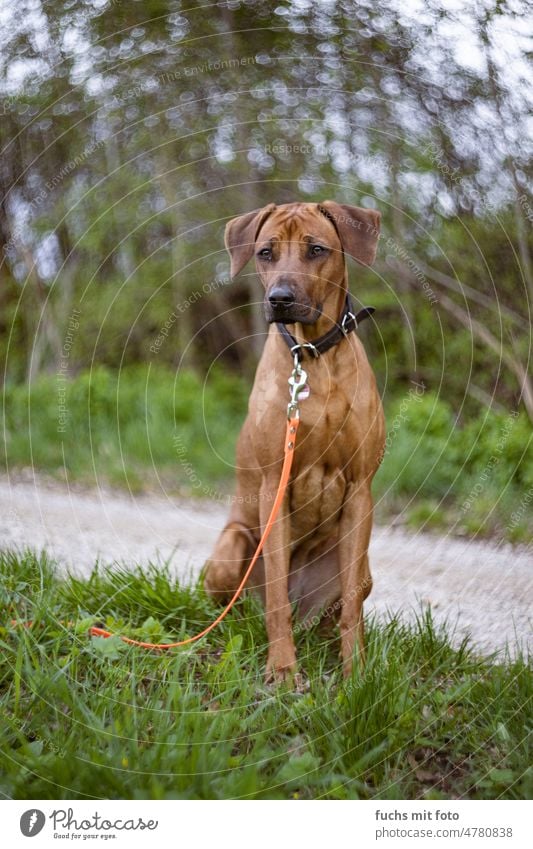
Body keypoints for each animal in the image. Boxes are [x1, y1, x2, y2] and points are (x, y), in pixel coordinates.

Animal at [203, 200, 382, 684]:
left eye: (316, 249)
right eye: (265, 253)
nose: (279, 298)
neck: (314, 356)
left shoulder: (360, 488)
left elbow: (352, 607)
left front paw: (357, 673)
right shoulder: (273, 487)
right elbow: (277, 604)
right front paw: (282, 670)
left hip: (360, 565)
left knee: (343, 602)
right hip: (230, 551)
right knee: (247, 605)